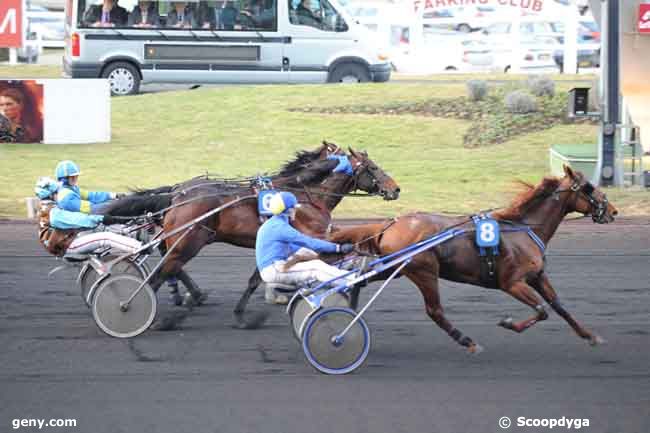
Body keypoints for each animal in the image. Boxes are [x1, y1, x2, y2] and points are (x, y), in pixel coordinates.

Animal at [105, 142, 400, 328]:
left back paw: (190, 296)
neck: (305, 194)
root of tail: (179, 193)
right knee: (163, 271)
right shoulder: (309, 233)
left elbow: (257, 277)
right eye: (373, 167)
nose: (395, 189)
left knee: (169, 265)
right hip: (189, 241)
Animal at [326, 167, 616, 352]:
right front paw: (508, 323)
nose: (612, 211)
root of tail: (393, 223)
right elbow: (541, 310)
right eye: (589, 188)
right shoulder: (512, 283)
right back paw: (467, 341)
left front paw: (589, 335)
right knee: (435, 311)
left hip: (395, 267)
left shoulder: (537, 276)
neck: (521, 229)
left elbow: (559, 306)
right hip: (424, 271)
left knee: (359, 282)